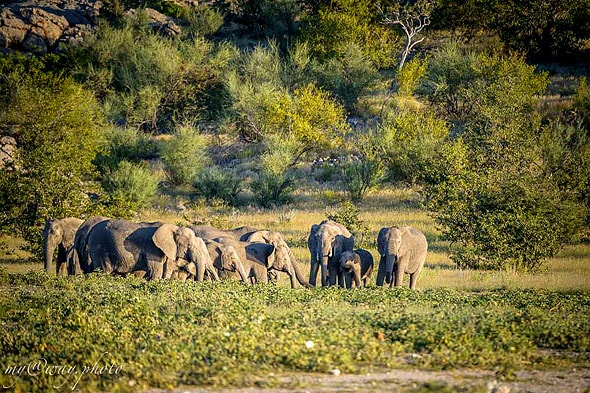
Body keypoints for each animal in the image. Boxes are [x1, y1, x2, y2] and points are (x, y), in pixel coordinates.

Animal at [86, 219, 219, 280]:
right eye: (189, 245)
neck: (174, 228)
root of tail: (91, 230)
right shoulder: (153, 248)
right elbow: (156, 272)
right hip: (99, 246)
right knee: (104, 270)